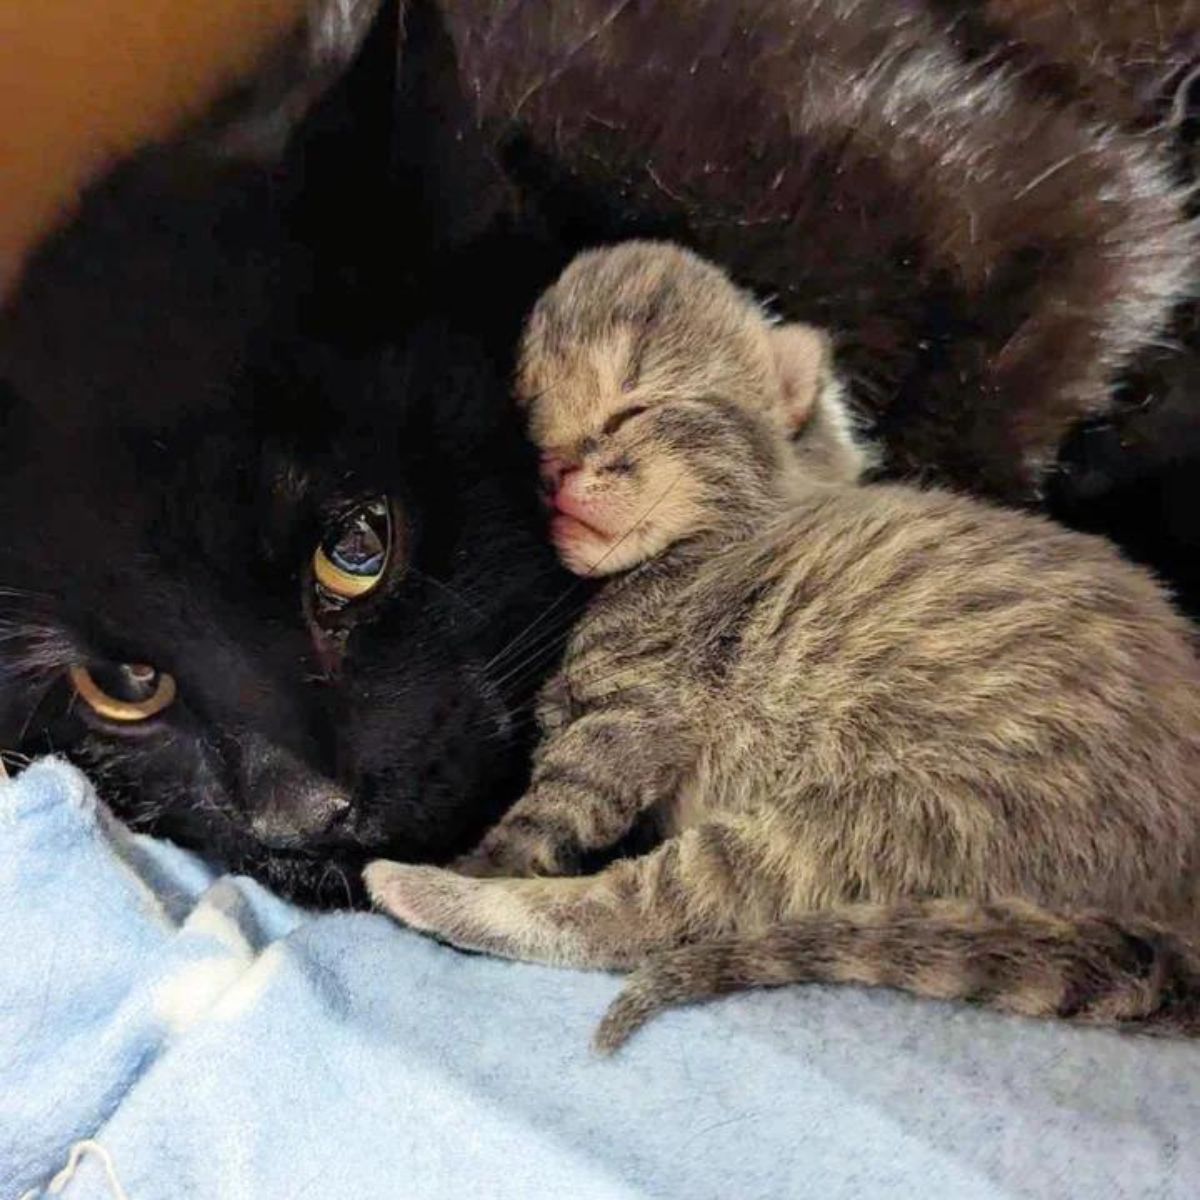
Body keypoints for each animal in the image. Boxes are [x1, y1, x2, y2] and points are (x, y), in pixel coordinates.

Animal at [364, 243, 1200, 1051]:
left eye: (633, 406)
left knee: (635, 915)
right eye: (530, 418)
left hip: (886, 819)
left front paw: (481, 858)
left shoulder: (636, 716)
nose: (552, 468)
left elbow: (547, 816)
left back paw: (416, 888)